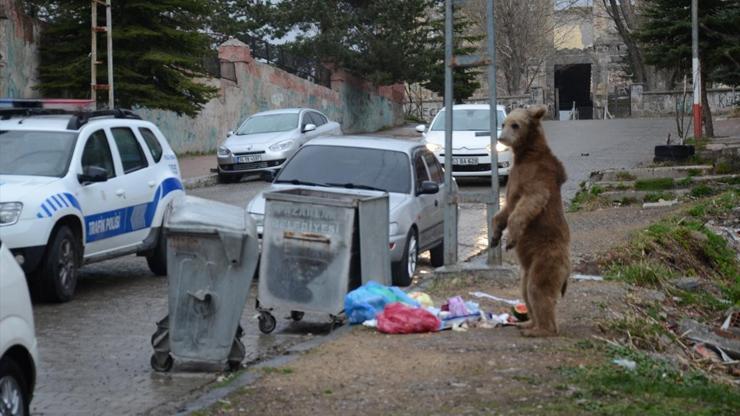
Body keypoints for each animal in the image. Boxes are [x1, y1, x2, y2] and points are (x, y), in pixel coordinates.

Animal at [492, 105, 572, 338]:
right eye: (504, 123)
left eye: (515, 125)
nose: (500, 137)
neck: (525, 155)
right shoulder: (515, 177)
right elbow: (505, 210)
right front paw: (495, 235)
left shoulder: (537, 177)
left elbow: (527, 204)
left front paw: (510, 239)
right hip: (530, 266)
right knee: (525, 289)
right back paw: (528, 323)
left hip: (546, 256)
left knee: (538, 288)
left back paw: (540, 329)